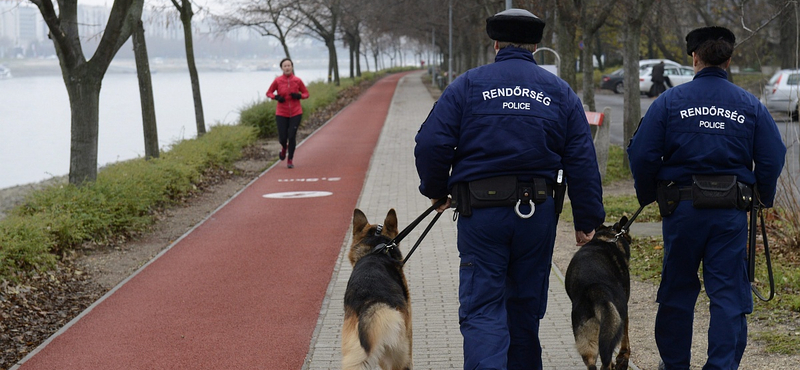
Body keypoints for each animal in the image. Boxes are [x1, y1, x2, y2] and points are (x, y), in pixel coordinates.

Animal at [564, 217, 632, 370]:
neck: (608, 238)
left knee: (593, 362)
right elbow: (625, 337)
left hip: (587, 338)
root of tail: (595, 290)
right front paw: (623, 359)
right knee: (607, 360)